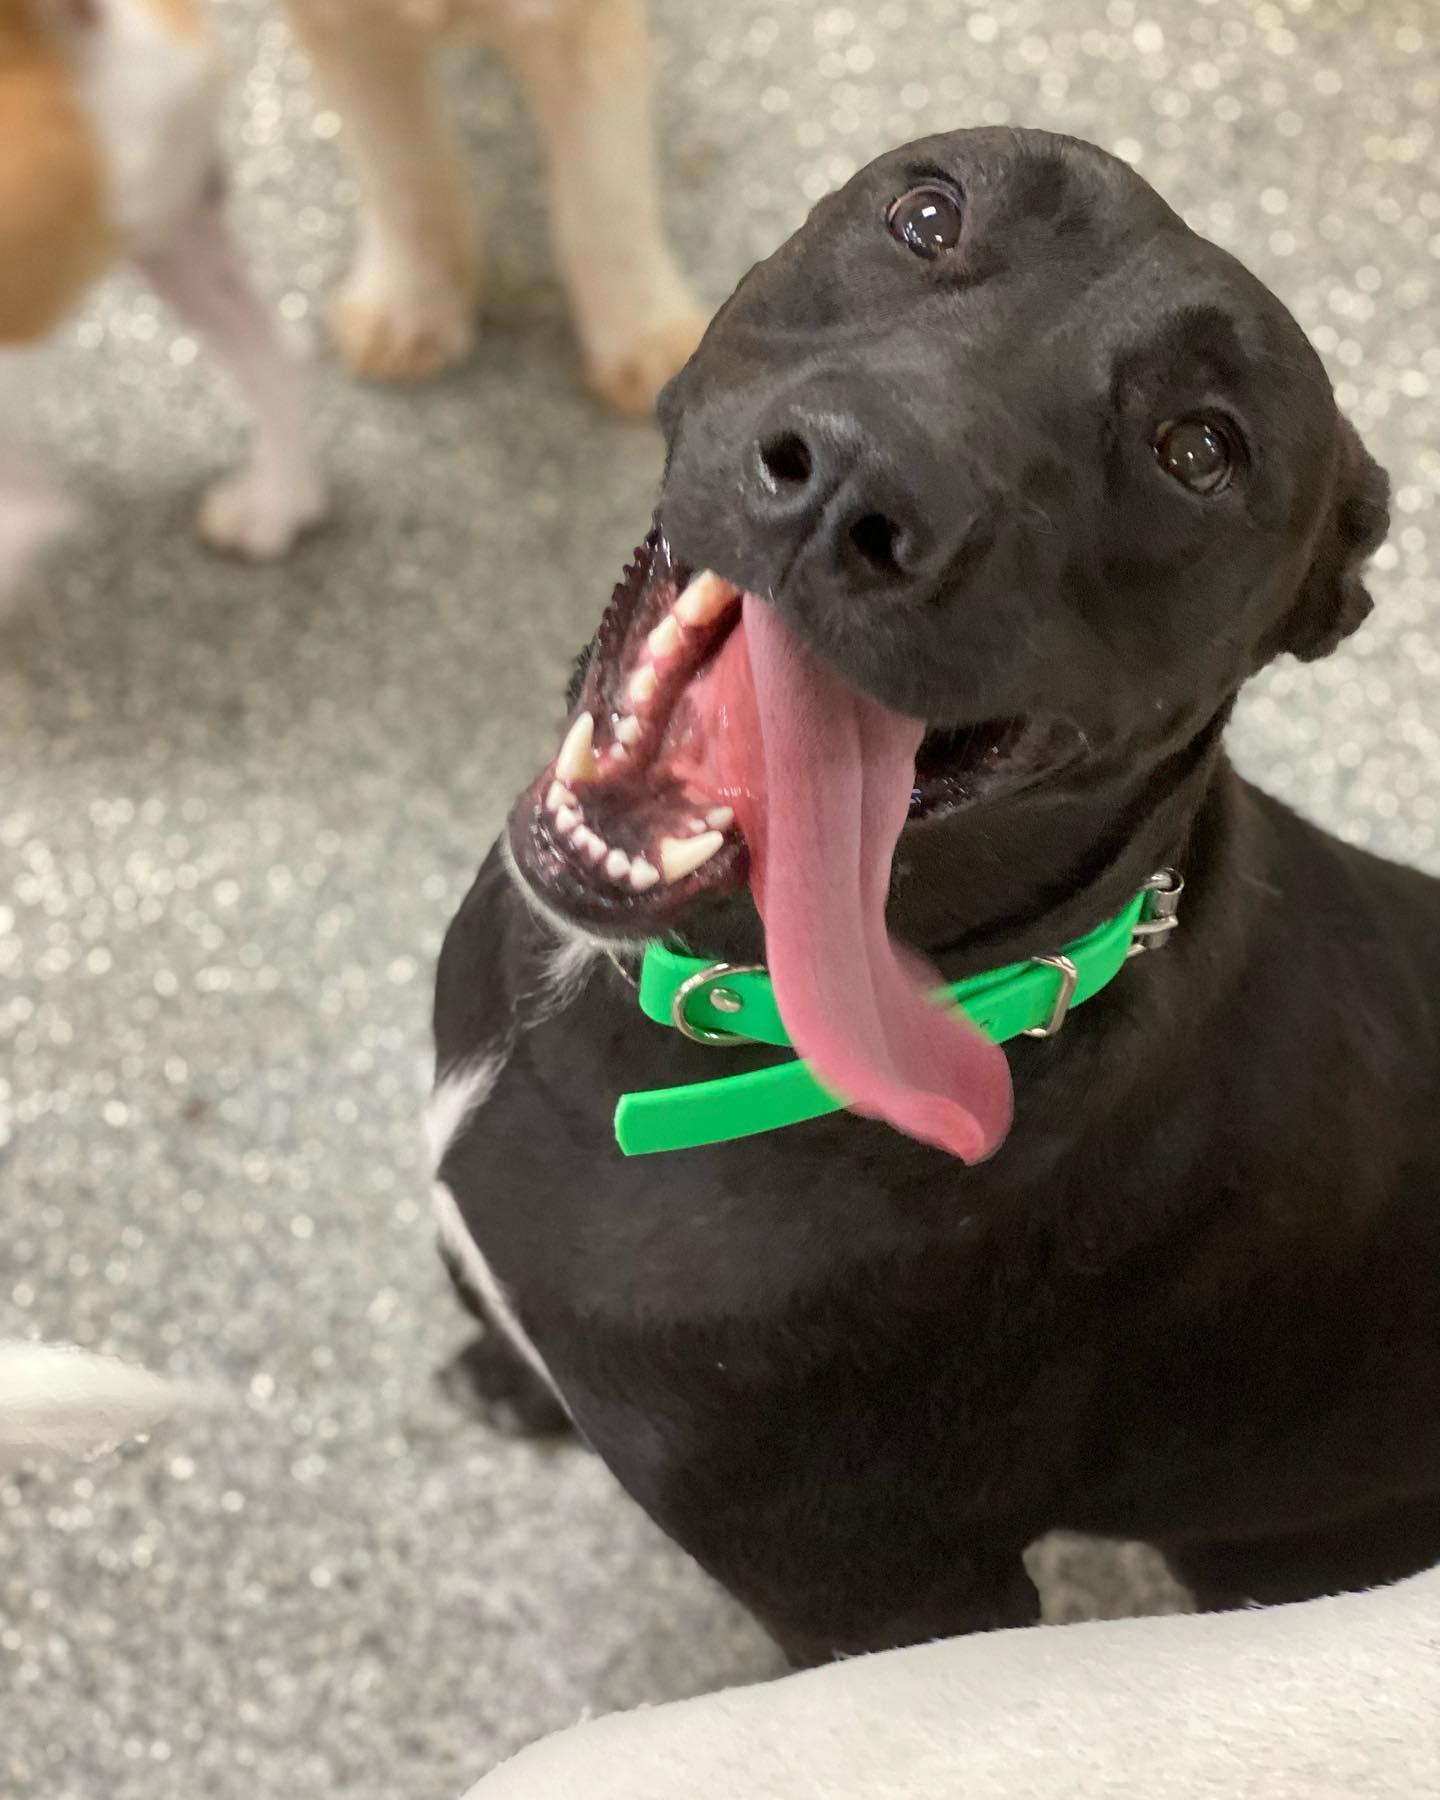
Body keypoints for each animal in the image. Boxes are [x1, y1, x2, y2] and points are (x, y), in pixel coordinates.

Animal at [280, 0, 708, 416]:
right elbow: (406, 178)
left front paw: (644, 336)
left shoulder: (574, 28)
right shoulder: (347, 28)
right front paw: (412, 309)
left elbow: (609, 203)